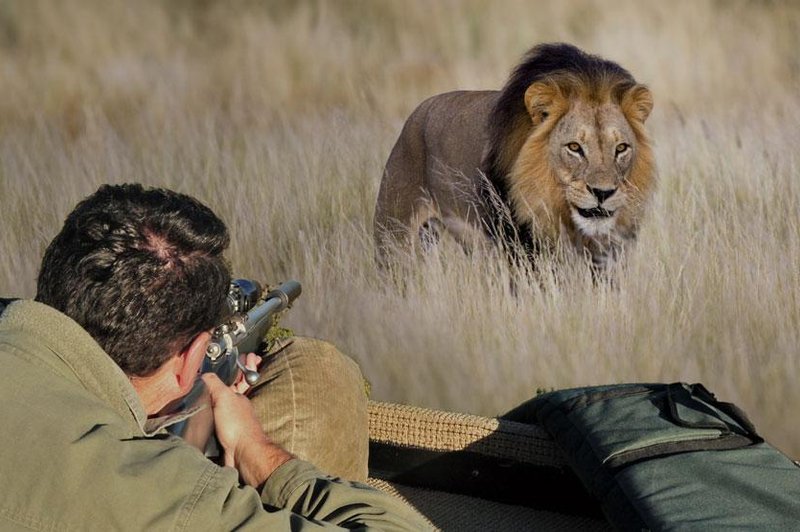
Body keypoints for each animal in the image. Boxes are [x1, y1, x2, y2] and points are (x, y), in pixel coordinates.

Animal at [372, 42, 652, 268]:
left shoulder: (607, 253)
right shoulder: (519, 245)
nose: (603, 193)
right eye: (574, 147)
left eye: (621, 148)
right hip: (393, 236)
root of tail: (417, 112)